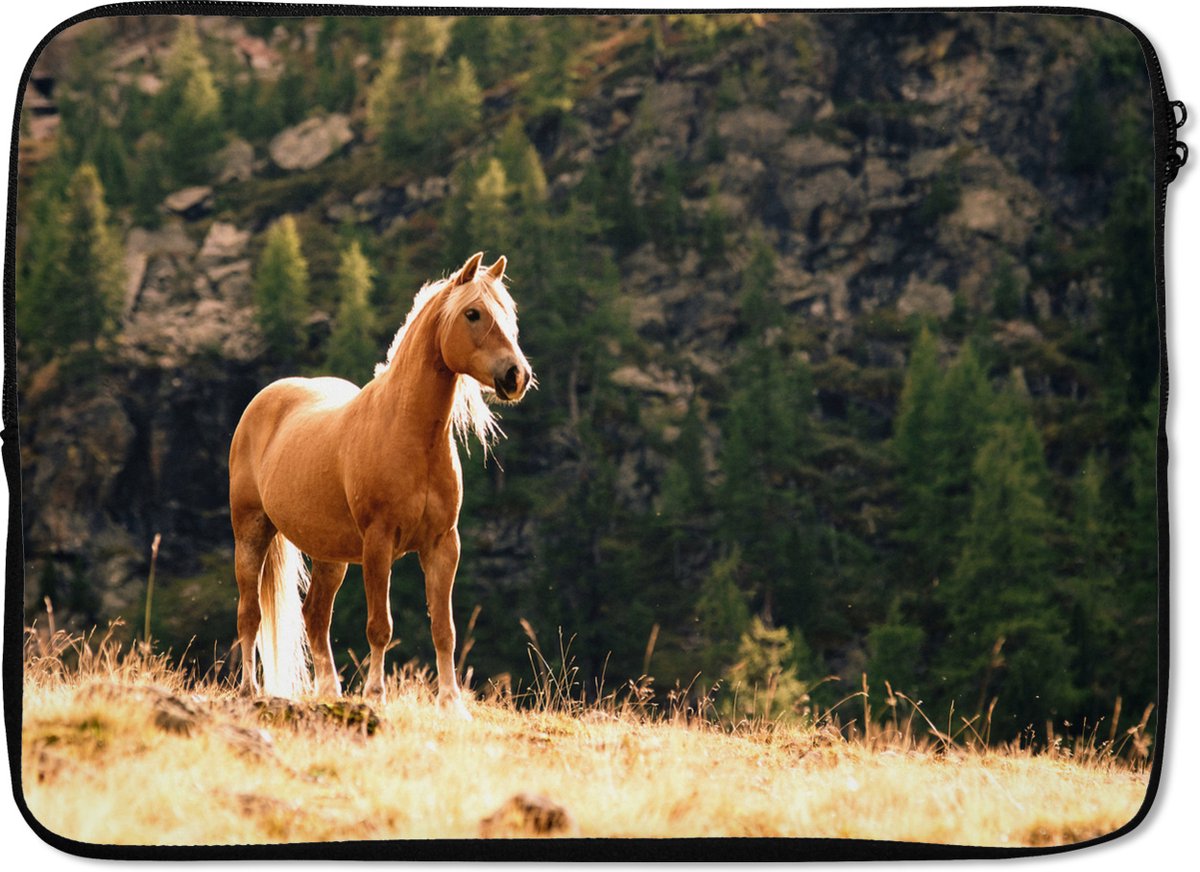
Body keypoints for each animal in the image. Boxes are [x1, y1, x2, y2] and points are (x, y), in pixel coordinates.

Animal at [227, 252, 532, 718]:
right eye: (473, 313)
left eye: (509, 314)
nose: (517, 376)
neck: (409, 435)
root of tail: (264, 401)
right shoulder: (379, 542)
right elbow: (379, 626)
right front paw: (375, 694)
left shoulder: (443, 544)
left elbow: (445, 629)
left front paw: (452, 703)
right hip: (251, 531)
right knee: (250, 614)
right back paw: (249, 690)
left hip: (330, 554)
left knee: (315, 616)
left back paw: (331, 693)